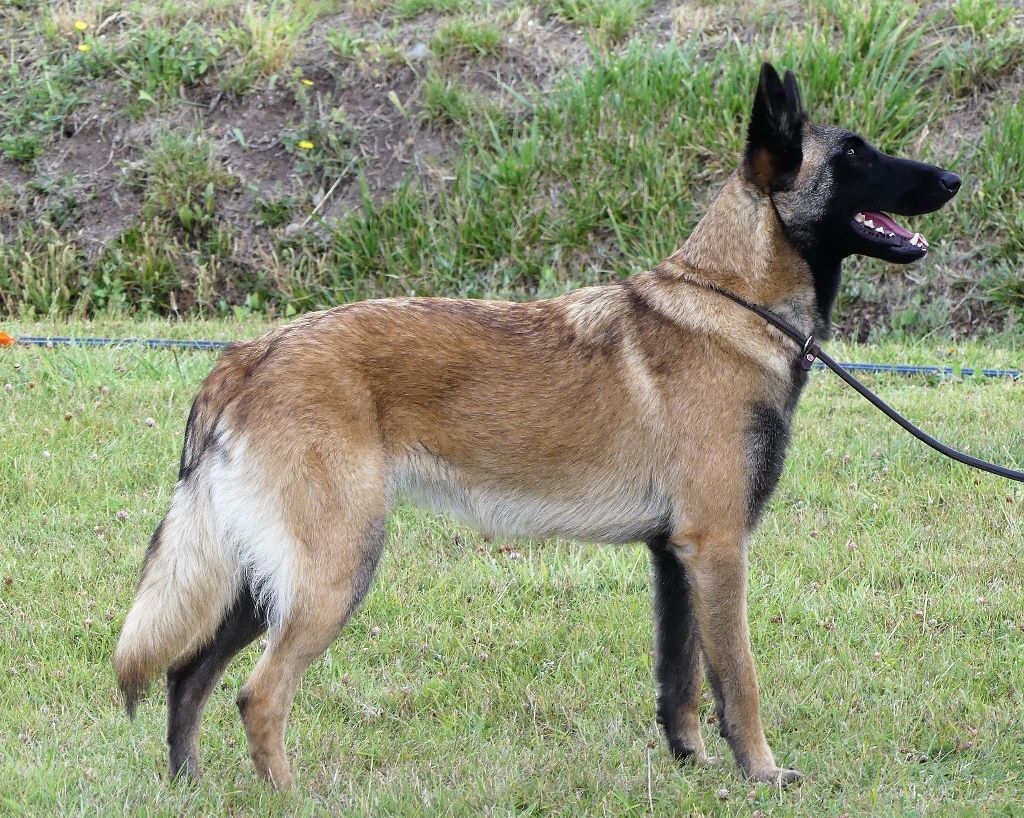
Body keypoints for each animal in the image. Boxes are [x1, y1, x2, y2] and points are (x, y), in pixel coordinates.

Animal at [117, 63, 958, 786]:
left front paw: (690, 766)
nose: (954, 179)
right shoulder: (717, 549)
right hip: (332, 572)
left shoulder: (676, 557)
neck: (733, 299)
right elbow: (739, 681)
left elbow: (680, 681)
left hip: (265, 578)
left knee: (188, 674)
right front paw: (761, 773)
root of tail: (249, 354)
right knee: (256, 694)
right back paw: (288, 794)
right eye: (854, 153)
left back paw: (190, 785)